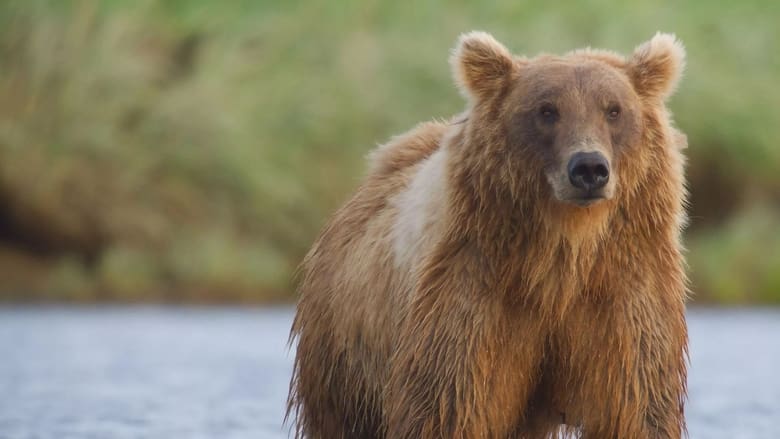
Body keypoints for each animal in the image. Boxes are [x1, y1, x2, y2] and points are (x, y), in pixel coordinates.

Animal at [286, 31, 688, 439]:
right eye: (547, 110)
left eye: (613, 110)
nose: (589, 167)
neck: (565, 246)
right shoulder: (473, 290)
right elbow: (446, 404)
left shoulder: (624, 289)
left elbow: (637, 405)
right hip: (348, 350)